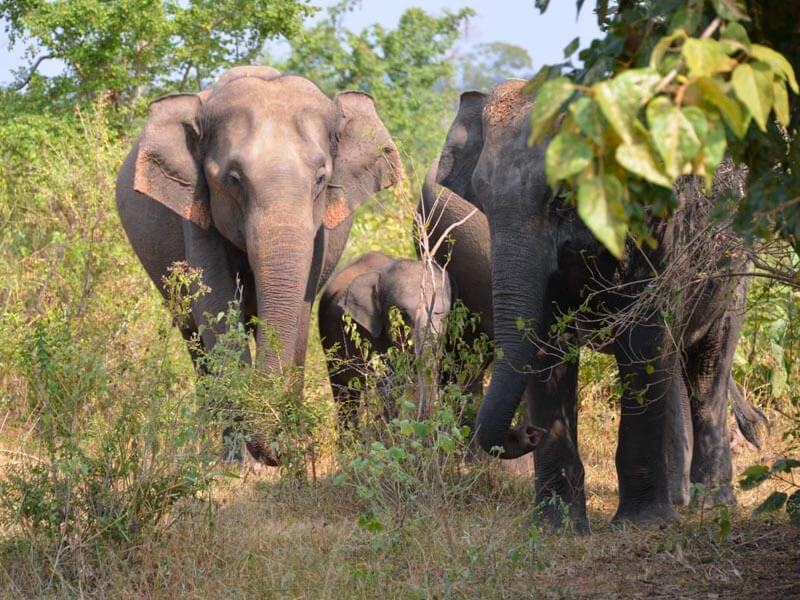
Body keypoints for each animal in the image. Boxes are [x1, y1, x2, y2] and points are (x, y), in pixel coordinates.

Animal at [115, 64, 404, 460]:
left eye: (321, 178)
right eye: (233, 179)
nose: (278, 448)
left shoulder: (318, 232)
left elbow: (300, 310)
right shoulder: (196, 209)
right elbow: (216, 304)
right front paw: (239, 458)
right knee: (193, 337)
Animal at [432, 81, 752, 528]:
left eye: (562, 197)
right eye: (481, 197)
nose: (526, 433)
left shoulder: (659, 227)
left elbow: (641, 340)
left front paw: (639, 526)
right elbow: (547, 345)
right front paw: (555, 527)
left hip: (732, 271)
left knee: (707, 370)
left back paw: (712, 505)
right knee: (671, 363)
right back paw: (679, 502)